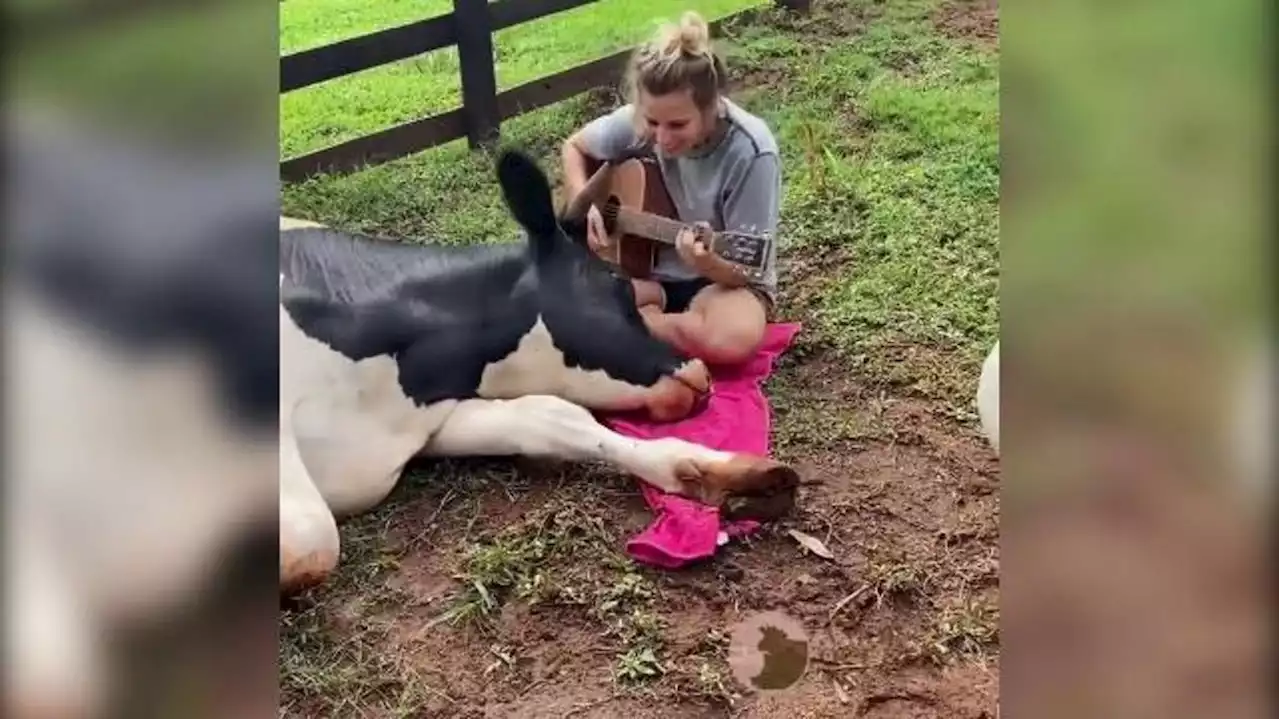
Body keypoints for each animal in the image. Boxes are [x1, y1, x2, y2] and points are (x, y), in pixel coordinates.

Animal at [281, 148, 798, 591]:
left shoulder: (429, 418)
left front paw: (722, 474)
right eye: (620, 287)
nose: (699, 373)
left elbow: (550, 417)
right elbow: (311, 544)